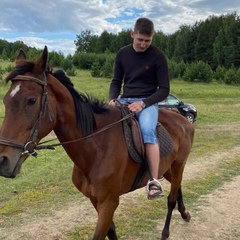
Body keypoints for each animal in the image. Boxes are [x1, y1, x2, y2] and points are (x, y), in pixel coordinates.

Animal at [0, 46, 194, 239]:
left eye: (31, 101)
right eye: (5, 100)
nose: (3, 160)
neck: (97, 147)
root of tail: (184, 121)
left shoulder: (109, 202)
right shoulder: (95, 200)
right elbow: (111, 231)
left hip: (178, 166)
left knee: (171, 198)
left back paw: (166, 231)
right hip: (167, 168)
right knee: (177, 188)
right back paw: (185, 214)